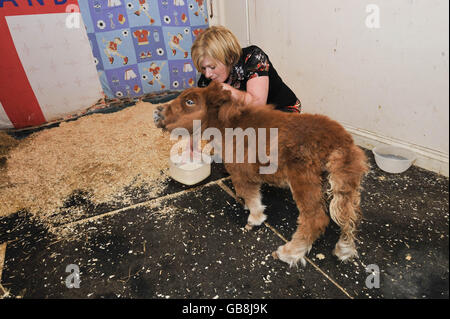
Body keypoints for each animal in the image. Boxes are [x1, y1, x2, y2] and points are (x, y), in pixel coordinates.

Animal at [156, 82, 370, 268]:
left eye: (190, 102)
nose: (158, 111)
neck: (228, 125)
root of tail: (341, 141)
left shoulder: (241, 172)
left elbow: (251, 196)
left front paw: (255, 218)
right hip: (342, 184)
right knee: (349, 216)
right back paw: (344, 250)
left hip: (303, 180)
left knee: (315, 219)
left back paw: (289, 253)